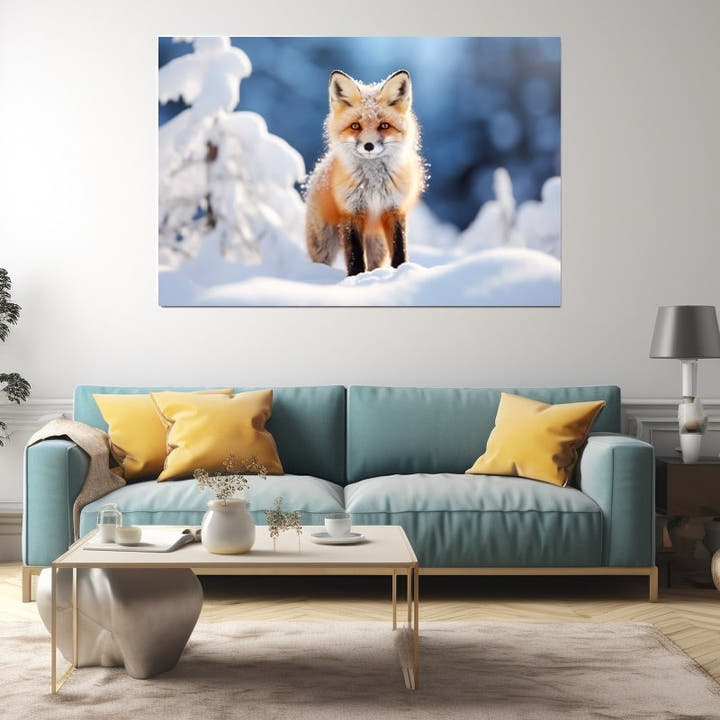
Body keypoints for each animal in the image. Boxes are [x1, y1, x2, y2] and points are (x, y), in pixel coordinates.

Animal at [305, 69, 426, 276]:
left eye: (384, 126)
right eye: (355, 126)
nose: (369, 146)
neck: (373, 185)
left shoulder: (394, 209)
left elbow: (400, 250)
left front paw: (401, 272)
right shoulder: (351, 212)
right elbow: (354, 256)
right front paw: (355, 278)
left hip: (377, 246)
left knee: (374, 263)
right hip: (323, 243)